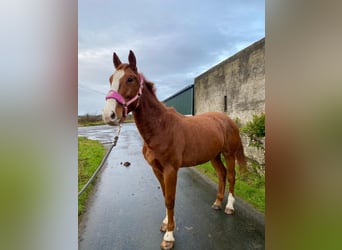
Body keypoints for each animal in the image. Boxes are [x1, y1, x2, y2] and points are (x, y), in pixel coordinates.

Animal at [101, 50, 246, 250]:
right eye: (110, 79)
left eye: (130, 79)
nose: (109, 115)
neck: (161, 128)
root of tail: (227, 119)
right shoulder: (157, 169)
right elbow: (165, 196)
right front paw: (167, 224)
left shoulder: (171, 169)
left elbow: (170, 199)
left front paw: (169, 236)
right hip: (214, 156)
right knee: (222, 174)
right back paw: (217, 202)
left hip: (228, 154)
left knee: (231, 176)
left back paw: (229, 206)